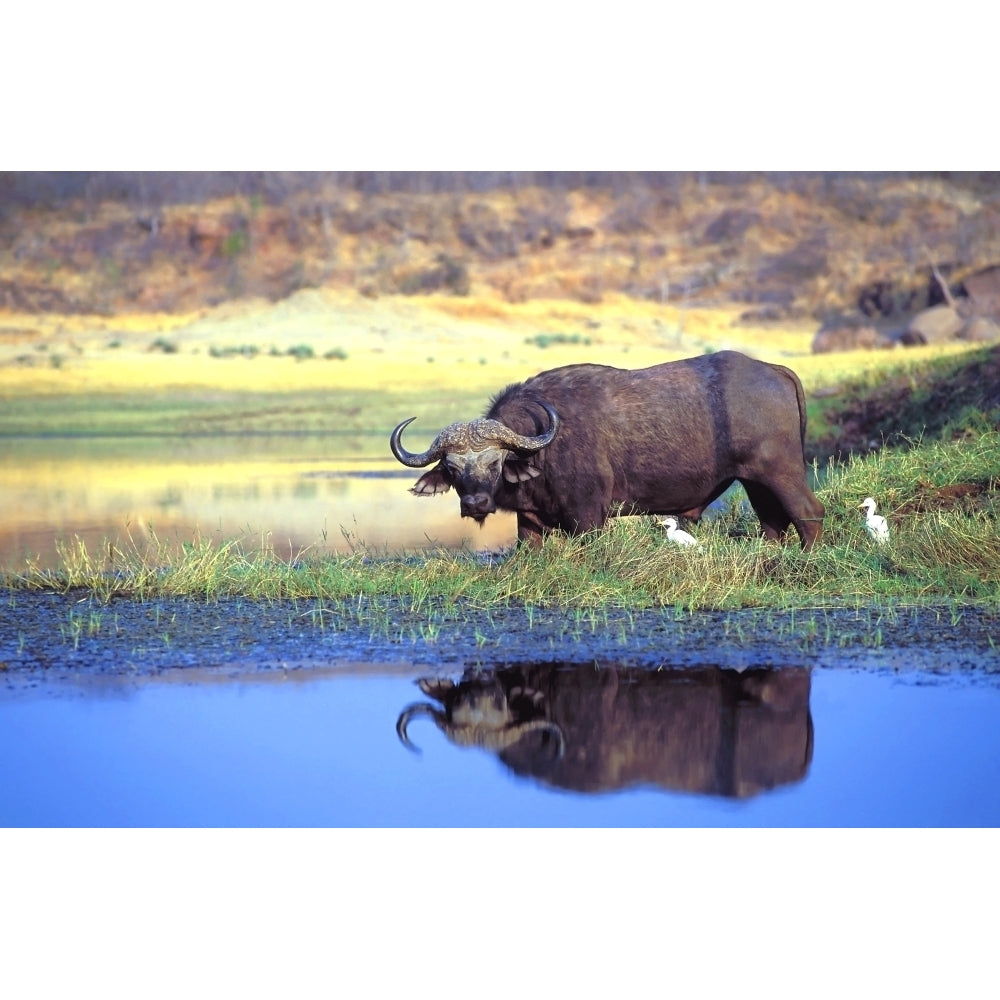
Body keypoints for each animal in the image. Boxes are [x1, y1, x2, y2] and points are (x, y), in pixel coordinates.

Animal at [386, 352, 824, 552]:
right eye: (452, 467)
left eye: (494, 462)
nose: (475, 503)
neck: (543, 447)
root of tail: (774, 370)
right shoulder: (529, 522)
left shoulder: (589, 517)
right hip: (754, 481)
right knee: (772, 520)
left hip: (781, 471)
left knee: (808, 511)